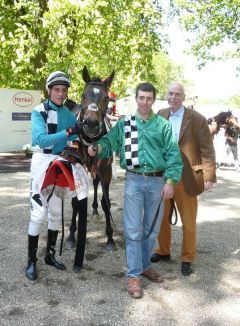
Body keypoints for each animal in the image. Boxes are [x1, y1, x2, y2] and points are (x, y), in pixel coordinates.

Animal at [63, 65, 116, 272]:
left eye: (106, 98)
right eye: (83, 95)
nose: (91, 124)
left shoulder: (106, 171)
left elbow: (107, 202)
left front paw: (110, 238)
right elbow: (75, 203)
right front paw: (71, 236)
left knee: (95, 184)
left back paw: (94, 209)